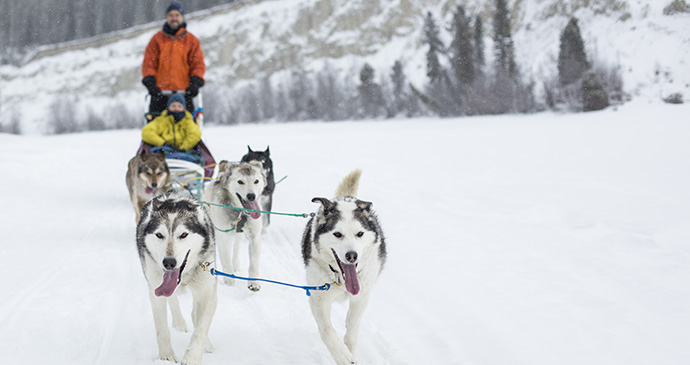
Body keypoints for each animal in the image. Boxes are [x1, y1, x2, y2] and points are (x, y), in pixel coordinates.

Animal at [136, 192, 216, 362]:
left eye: (183, 234)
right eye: (159, 235)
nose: (169, 262)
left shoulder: (206, 292)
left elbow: (201, 329)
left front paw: (191, 358)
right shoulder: (155, 289)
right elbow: (162, 329)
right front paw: (166, 357)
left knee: (195, 315)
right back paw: (179, 322)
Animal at [202, 159, 266, 290]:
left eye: (256, 181)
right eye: (240, 181)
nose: (251, 196)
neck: (240, 212)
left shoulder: (255, 237)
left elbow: (254, 262)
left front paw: (253, 282)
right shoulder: (224, 236)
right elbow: (226, 258)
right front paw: (229, 278)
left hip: (238, 235)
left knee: (236, 248)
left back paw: (236, 264)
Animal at [300, 169, 388, 362]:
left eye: (360, 234)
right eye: (337, 234)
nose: (352, 256)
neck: (341, 279)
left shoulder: (361, 296)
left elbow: (353, 330)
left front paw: (350, 350)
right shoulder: (318, 298)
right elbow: (327, 330)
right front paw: (343, 355)